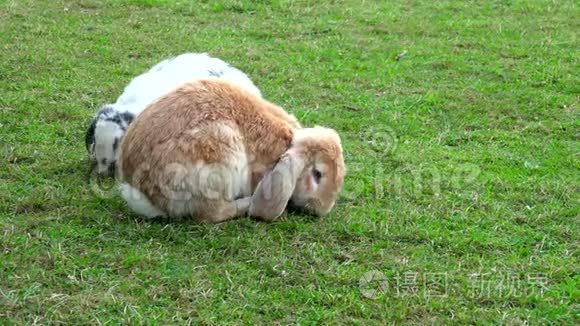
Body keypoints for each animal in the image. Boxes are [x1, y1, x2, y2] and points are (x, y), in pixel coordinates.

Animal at [118, 77, 344, 223]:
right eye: (317, 174)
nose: (320, 208)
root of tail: (141, 190)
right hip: (220, 161)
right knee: (211, 214)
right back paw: (246, 203)